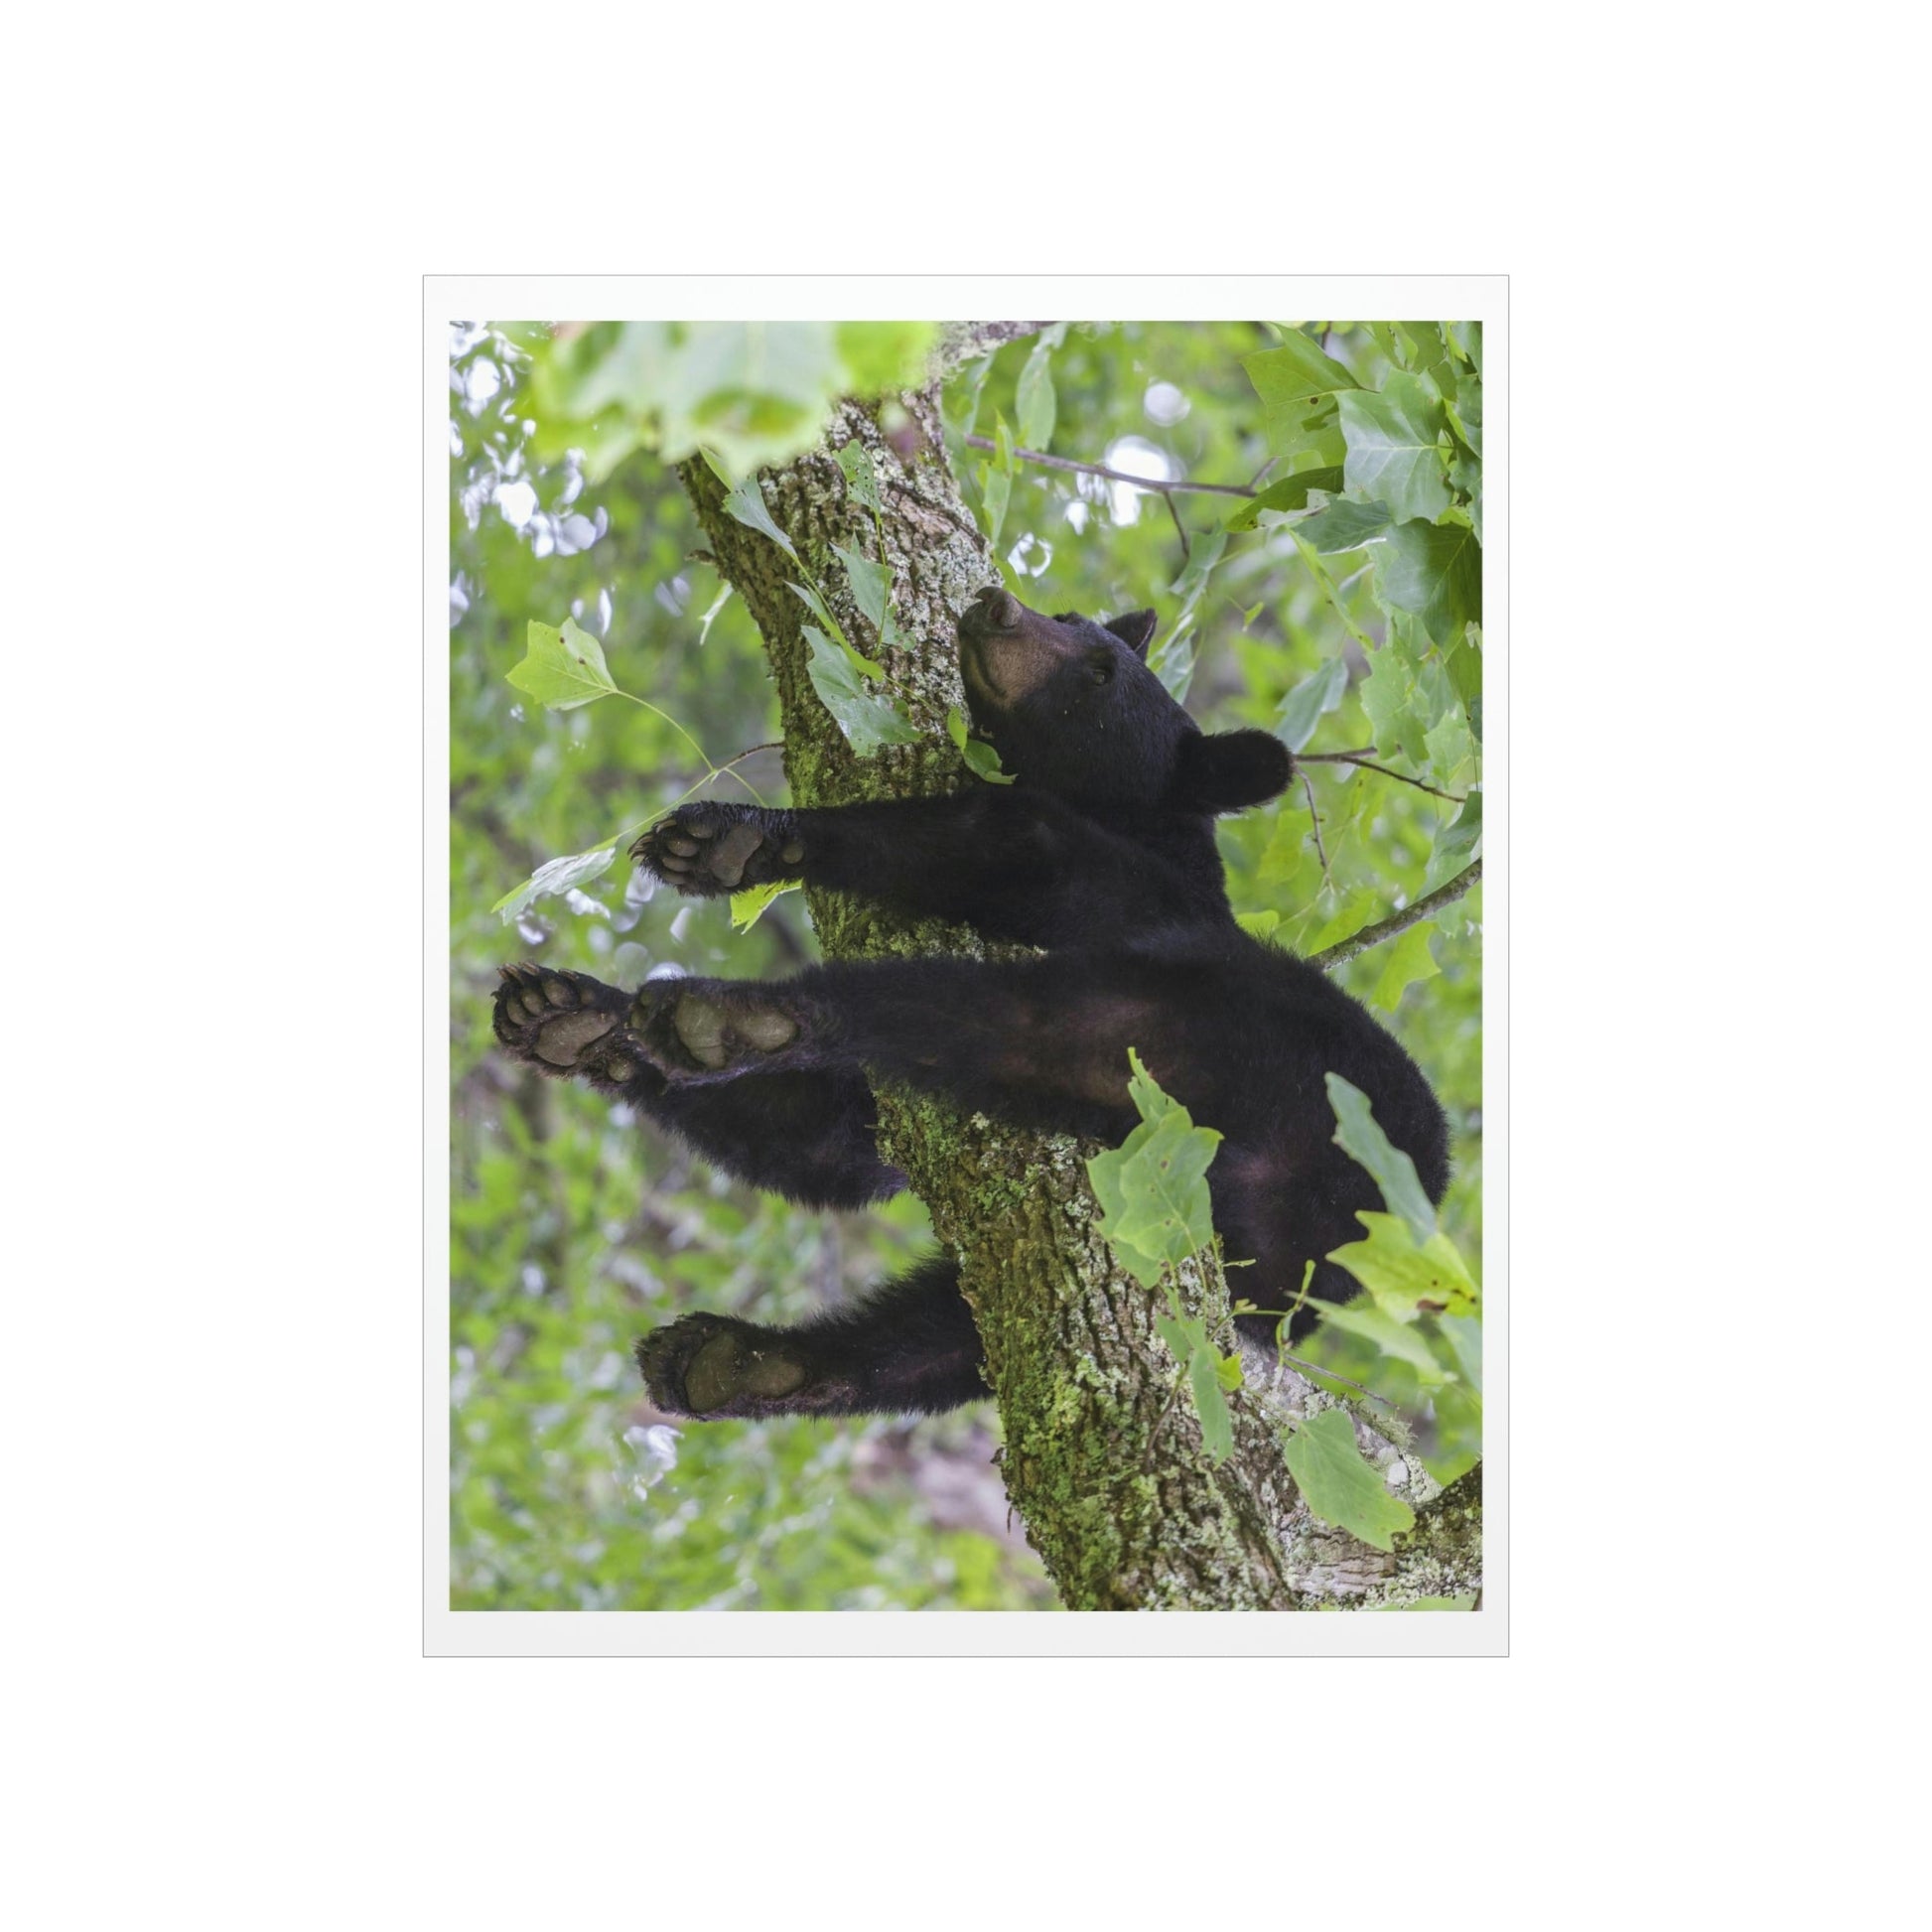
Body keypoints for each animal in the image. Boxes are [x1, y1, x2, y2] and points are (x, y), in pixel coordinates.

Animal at [490, 587, 1445, 1422]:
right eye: (1070, 615)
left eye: (1099, 670)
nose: (998, 604)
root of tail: (1335, 1229)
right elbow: (834, 1138)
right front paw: (569, 1017)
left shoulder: (1140, 901)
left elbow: (1004, 840)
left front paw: (740, 838)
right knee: (946, 1337)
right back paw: (738, 1360)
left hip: (1201, 1047)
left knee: (996, 1022)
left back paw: (731, 1019)